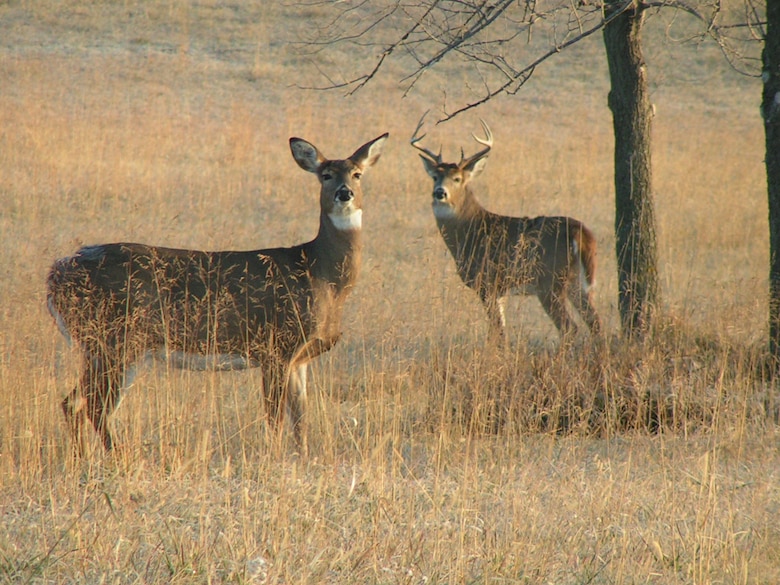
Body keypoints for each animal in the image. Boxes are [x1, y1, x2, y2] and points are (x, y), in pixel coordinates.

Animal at [47, 131, 388, 452]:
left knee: (72, 404)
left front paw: (301, 458)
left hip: (104, 346)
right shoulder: (275, 347)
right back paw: (119, 457)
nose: (345, 193)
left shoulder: (299, 358)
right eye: (326, 175)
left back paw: (84, 458)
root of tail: (55, 276)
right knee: (93, 407)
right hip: (115, 341)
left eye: (357, 173)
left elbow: (301, 420)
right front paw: (274, 457)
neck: (320, 276)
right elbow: (275, 419)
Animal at [412, 116, 600, 344]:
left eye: (457, 178)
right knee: (595, 323)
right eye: (434, 177)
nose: (440, 192)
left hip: (550, 282)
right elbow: (500, 330)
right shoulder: (500, 290)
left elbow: (497, 332)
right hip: (577, 282)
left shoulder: (487, 282)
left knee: (569, 328)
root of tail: (579, 232)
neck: (470, 232)